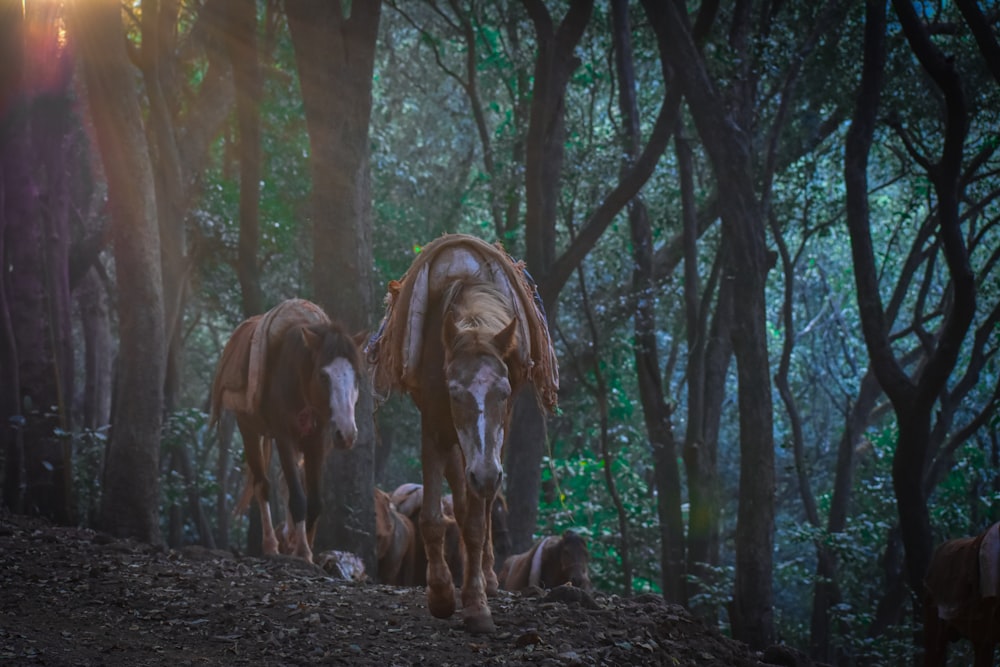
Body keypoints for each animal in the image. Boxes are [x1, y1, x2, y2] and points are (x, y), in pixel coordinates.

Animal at [211, 300, 364, 568]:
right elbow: (298, 498)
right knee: (262, 485)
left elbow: (315, 502)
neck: (298, 378)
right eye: (323, 375)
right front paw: (301, 551)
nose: (346, 434)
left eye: (356, 376)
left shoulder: (316, 443)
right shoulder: (283, 438)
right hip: (249, 430)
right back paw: (271, 545)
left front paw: (303, 547)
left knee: (281, 483)